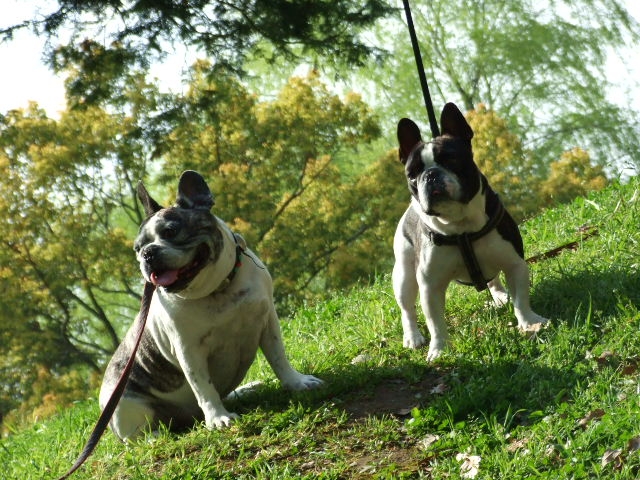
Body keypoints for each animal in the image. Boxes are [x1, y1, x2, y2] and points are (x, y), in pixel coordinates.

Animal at [102, 171, 322, 440]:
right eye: (136, 248)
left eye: (171, 231)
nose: (147, 253)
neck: (218, 288)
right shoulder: (188, 351)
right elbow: (203, 386)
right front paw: (218, 418)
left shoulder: (268, 322)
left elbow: (279, 358)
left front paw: (297, 383)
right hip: (127, 406)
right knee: (135, 435)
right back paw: (156, 437)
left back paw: (246, 389)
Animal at [392, 104, 548, 360]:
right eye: (412, 174)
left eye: (451, 159)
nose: (430, 175)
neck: (460, 226)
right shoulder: (430, 286)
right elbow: (435, 323)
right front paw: (439, 350)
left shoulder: (514, 264)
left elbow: (521, 299)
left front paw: (529, 322)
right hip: (404, 273)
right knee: (407, 309)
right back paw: (412, 337)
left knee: (494, 280)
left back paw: (500, 295)